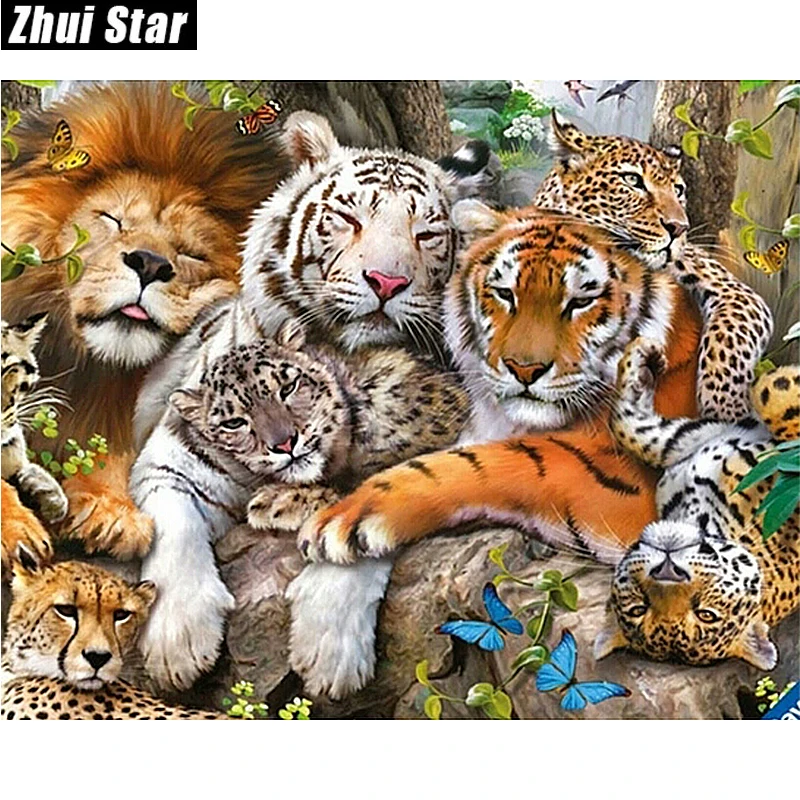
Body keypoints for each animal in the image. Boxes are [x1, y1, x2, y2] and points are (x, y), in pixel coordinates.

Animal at [129, 111, 493, 692]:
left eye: (427, 234)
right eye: (347, 218)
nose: (387, 281)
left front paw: (328, 648)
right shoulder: (171, 457)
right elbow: (173, 525)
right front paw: (178, 641)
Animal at [533, 112, 773, 424]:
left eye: (678, 190)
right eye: (632, 180)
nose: (679, 227)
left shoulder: (733, 290)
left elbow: (728, 342)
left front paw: (726, 411)